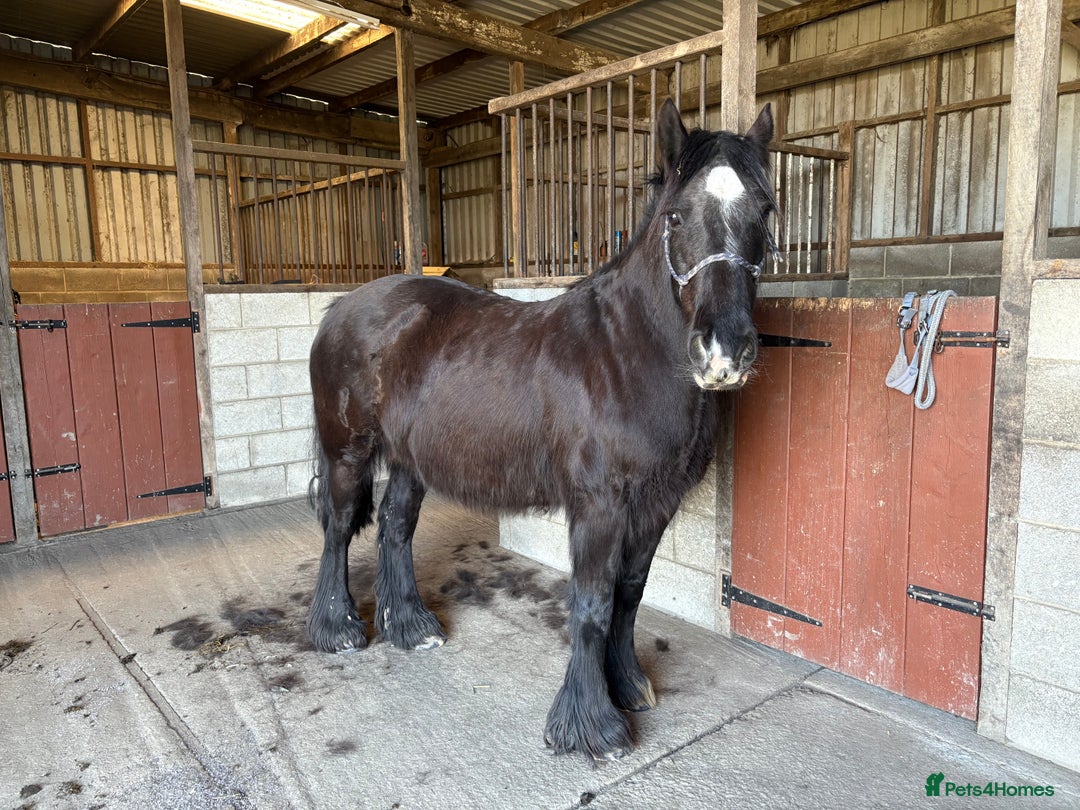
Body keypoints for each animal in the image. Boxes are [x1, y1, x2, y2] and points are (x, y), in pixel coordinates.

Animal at [306, 98, 777, 761]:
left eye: (765, 210)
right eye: (677, 215)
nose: (724, 352)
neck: (625, 352)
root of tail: (341, 308)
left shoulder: (655, 503)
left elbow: (629, 593)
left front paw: (627, 686)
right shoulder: (599, 503)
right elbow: (593, 601)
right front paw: (590, 725)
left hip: (410, 459)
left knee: (395, 528)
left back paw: (412, 627)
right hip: (348, 450)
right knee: (340, 527)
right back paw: (338, 629)